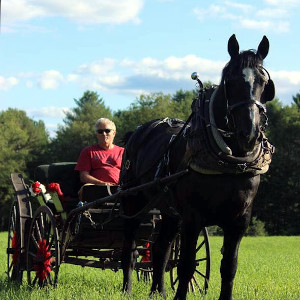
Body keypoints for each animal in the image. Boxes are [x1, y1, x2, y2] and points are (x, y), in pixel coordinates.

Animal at [119, 34, 274, 298]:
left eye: (264, 81)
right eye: (231, 80)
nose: (249, 133)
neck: (228, 162)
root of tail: (137, 132)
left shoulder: (239, 221)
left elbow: (229, 266)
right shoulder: (193, 217)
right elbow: (186, 265)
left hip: (169, 211)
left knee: (160, 249)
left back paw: (158, 291)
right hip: (133, 201)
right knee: (130, 246)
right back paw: (127, 288)